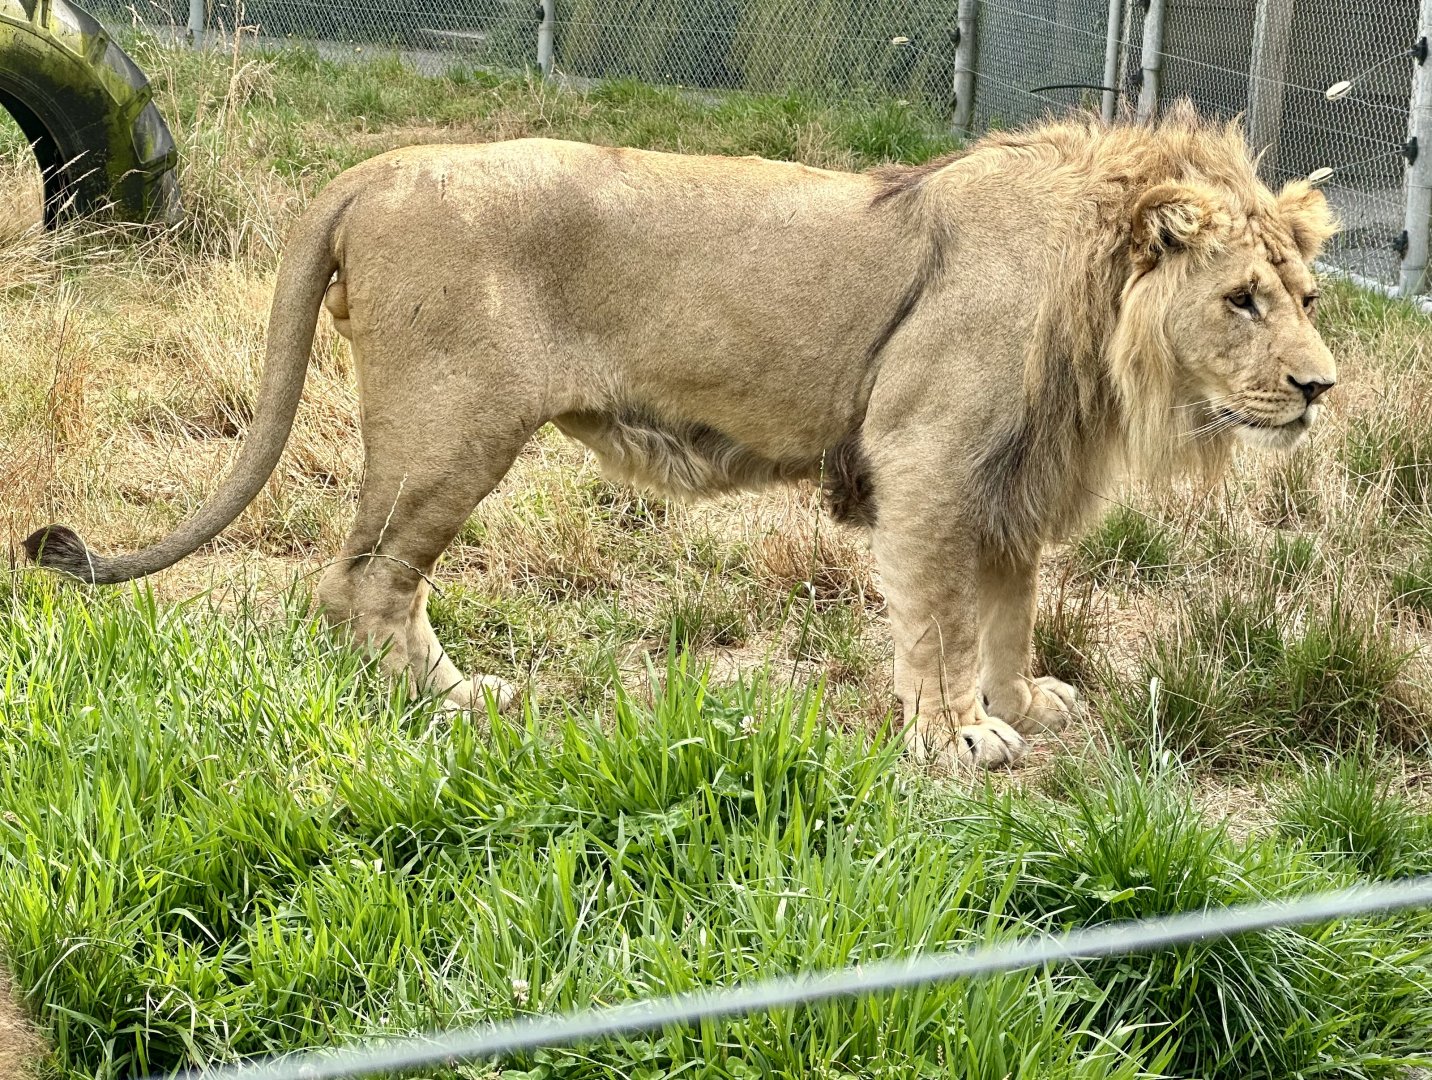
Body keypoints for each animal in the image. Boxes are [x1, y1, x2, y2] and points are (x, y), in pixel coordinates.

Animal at [24, 100, 1338, 770]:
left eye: (1307, 297)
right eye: (1240, 300)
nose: (1321, 387)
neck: (1104, 314)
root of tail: (380, 166)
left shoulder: (1017, 475)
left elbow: (1011, 605)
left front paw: (1025, 700)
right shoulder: (928, 461)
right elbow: (938, 619)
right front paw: (957, 732)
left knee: (361, 577)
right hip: (455, 431)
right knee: (362, 577)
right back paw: (445, 703)